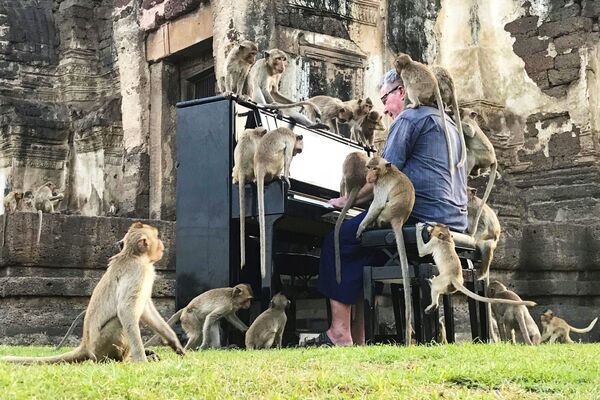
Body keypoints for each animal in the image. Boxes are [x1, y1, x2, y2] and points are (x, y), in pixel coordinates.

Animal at [1, 223, 185, 364]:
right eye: (157, 237)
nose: (162, 245)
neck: (133, 255)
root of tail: (85, 345)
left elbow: (146, 309)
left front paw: (174, 341)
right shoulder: (138, 271)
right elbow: (126, 310)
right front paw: (141, 360)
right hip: (101, 346)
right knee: (119, 322)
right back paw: (124, 360)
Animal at [354, 155, 414, 344]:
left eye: (374, 169)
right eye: (368, 167)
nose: (368, 176)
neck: (386, 171)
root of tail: (399, 218)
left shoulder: (379, 184)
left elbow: (377, 204)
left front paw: (360, 227)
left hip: (385, 214)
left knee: (380, 209)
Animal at [462, 108, 500, 236]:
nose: (460, 110)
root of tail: (494, 159)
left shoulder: (468, 121)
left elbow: (470, 131)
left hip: (484, 157)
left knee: (471, 154)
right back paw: (475, 175)